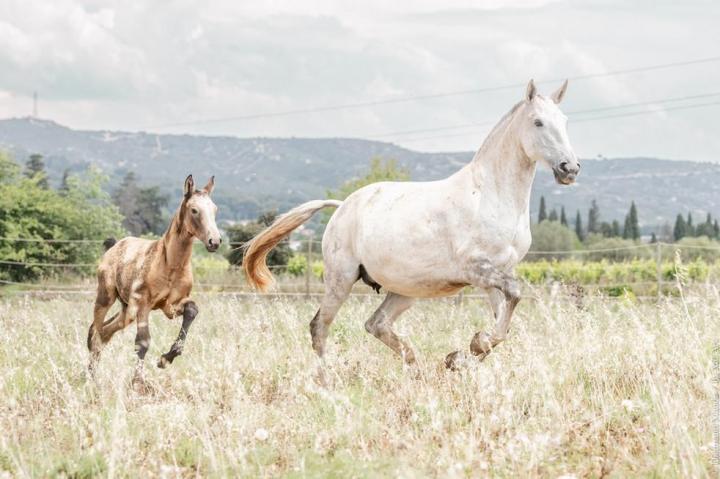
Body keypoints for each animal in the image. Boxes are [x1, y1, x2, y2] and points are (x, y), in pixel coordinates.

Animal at [87, 175, 221, 387]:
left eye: (215, 209)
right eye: (194, 210)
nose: (214, 241)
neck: (171, 265)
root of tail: (114, 246)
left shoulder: (171, 305)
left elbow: (192, 310)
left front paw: (165, 359)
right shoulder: (144, 304)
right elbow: (142, 342)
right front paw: (138, 383)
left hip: (127, 310)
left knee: (106, 332)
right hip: (106, 298)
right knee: (96, 333)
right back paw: (91, 379)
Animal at [243, 80, 579, 370]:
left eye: (564, 121)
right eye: (538, 122)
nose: (570, 168)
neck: (490, 195)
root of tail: (343, 207)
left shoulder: (498, 272)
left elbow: (503, 324)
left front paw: (460, 356)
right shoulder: (477, 269)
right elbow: (514, 297)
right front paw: (466, 351)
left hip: (405, 289)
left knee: (375, 324)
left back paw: (415, 365)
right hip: (341, 279)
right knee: (320, 327)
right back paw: (329, 378)